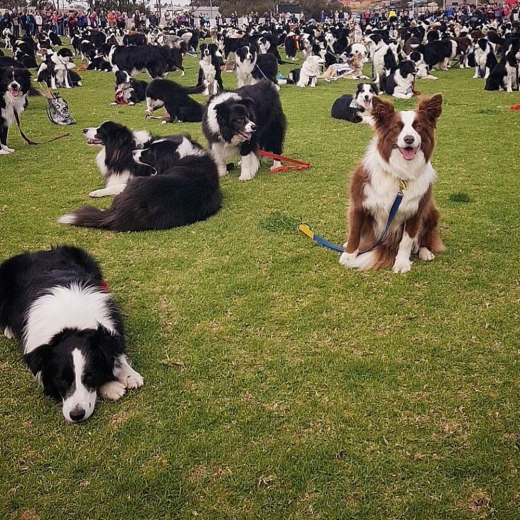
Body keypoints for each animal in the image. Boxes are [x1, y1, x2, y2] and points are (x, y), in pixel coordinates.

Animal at [59, 131, 221, 233]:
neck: (183, 155)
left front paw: (97, 192)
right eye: (148, 146)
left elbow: (118, 185)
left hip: (136, 183)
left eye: (150, 152)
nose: (133, 152)